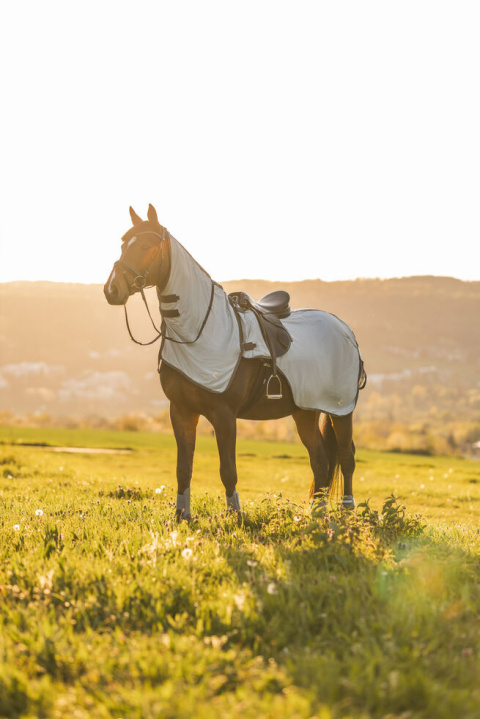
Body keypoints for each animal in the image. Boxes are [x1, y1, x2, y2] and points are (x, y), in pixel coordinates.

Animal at [103, 205, 366, 520]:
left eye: (144, 245)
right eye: (122, 245)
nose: (111, 290)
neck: (200, 331)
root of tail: (346, 331)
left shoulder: (224, 415)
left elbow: (228, 470)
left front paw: (235, 516)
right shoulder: (180, 411)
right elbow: (183, 468)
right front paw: (182, 515)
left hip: (341, 410)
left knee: (347, 456)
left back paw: (347, 511)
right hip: (304, 411)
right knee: (320, 459)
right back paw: (317, 514)